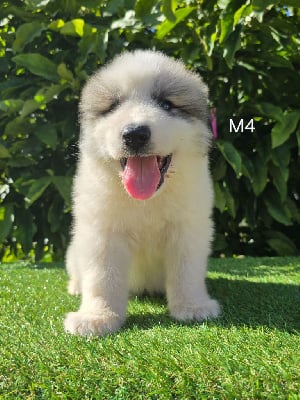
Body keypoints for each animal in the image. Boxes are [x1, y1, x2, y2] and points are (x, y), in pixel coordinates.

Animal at [65, 50, 220, 338]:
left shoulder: (188, 228)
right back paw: (76, 286)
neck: (147, 200)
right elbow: (103, 275)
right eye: (113, 106)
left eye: (167, 105)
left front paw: (193, 307)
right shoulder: (103, 232)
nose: (135, 134)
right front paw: (97, 317)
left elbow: (187, 269)